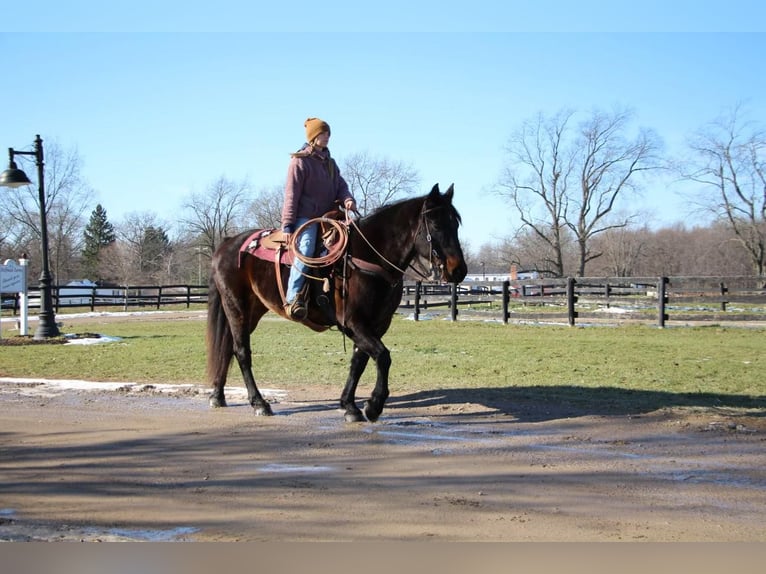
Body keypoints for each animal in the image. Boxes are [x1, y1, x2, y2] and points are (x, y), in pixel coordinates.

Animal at [206, 184, 468, 424]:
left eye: (455, 224)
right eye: (436, 225)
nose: (459, 270)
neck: (367, 257)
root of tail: (227, 243)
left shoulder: (376, 324)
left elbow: (359, 361)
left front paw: (349, 406)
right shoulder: (353, 322)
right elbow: (382, 356)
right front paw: (373, 405)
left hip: (252, 310)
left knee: (228, 347)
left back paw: (218, 395)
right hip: (236, 307)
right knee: (242, 352)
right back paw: (259, 403)